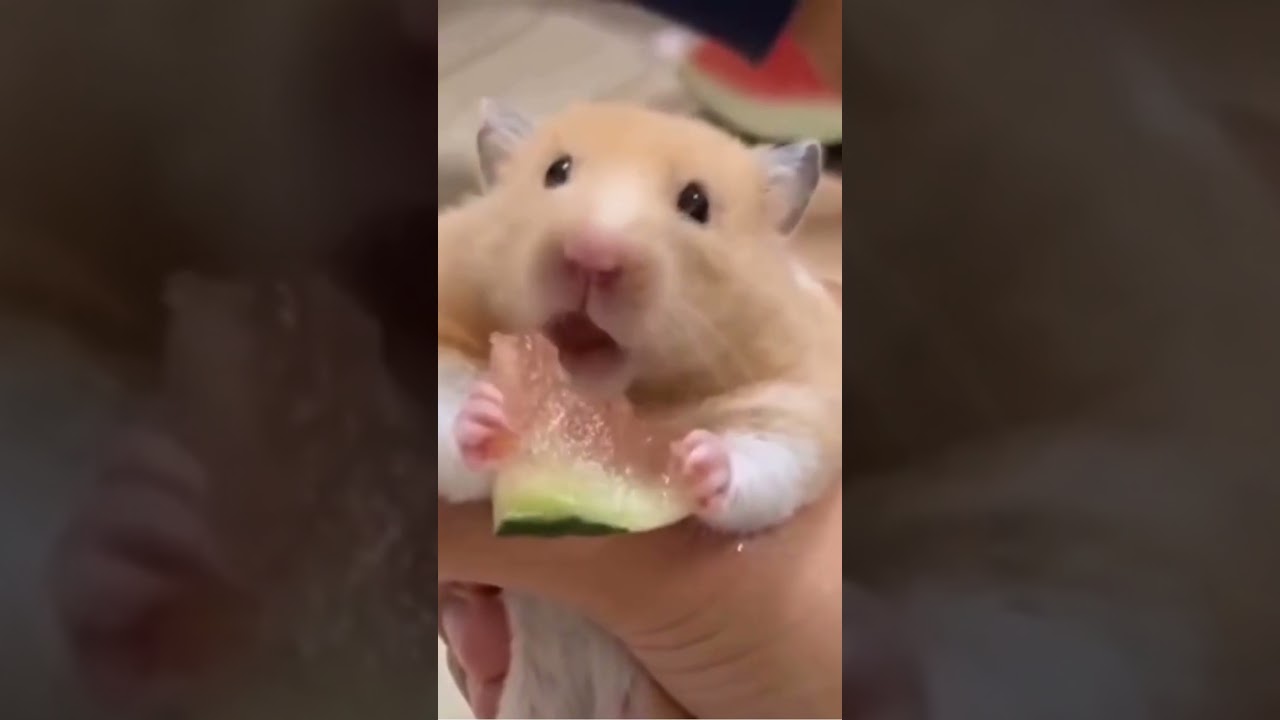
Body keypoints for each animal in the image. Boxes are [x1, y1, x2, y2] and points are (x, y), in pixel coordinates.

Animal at [436, 100, 842, 717]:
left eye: (696, 203)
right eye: (556, 171)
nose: (592, 254)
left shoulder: (798, 402)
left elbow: (766, 459)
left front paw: (699, 460)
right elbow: (448, 416)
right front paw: (486, 415)